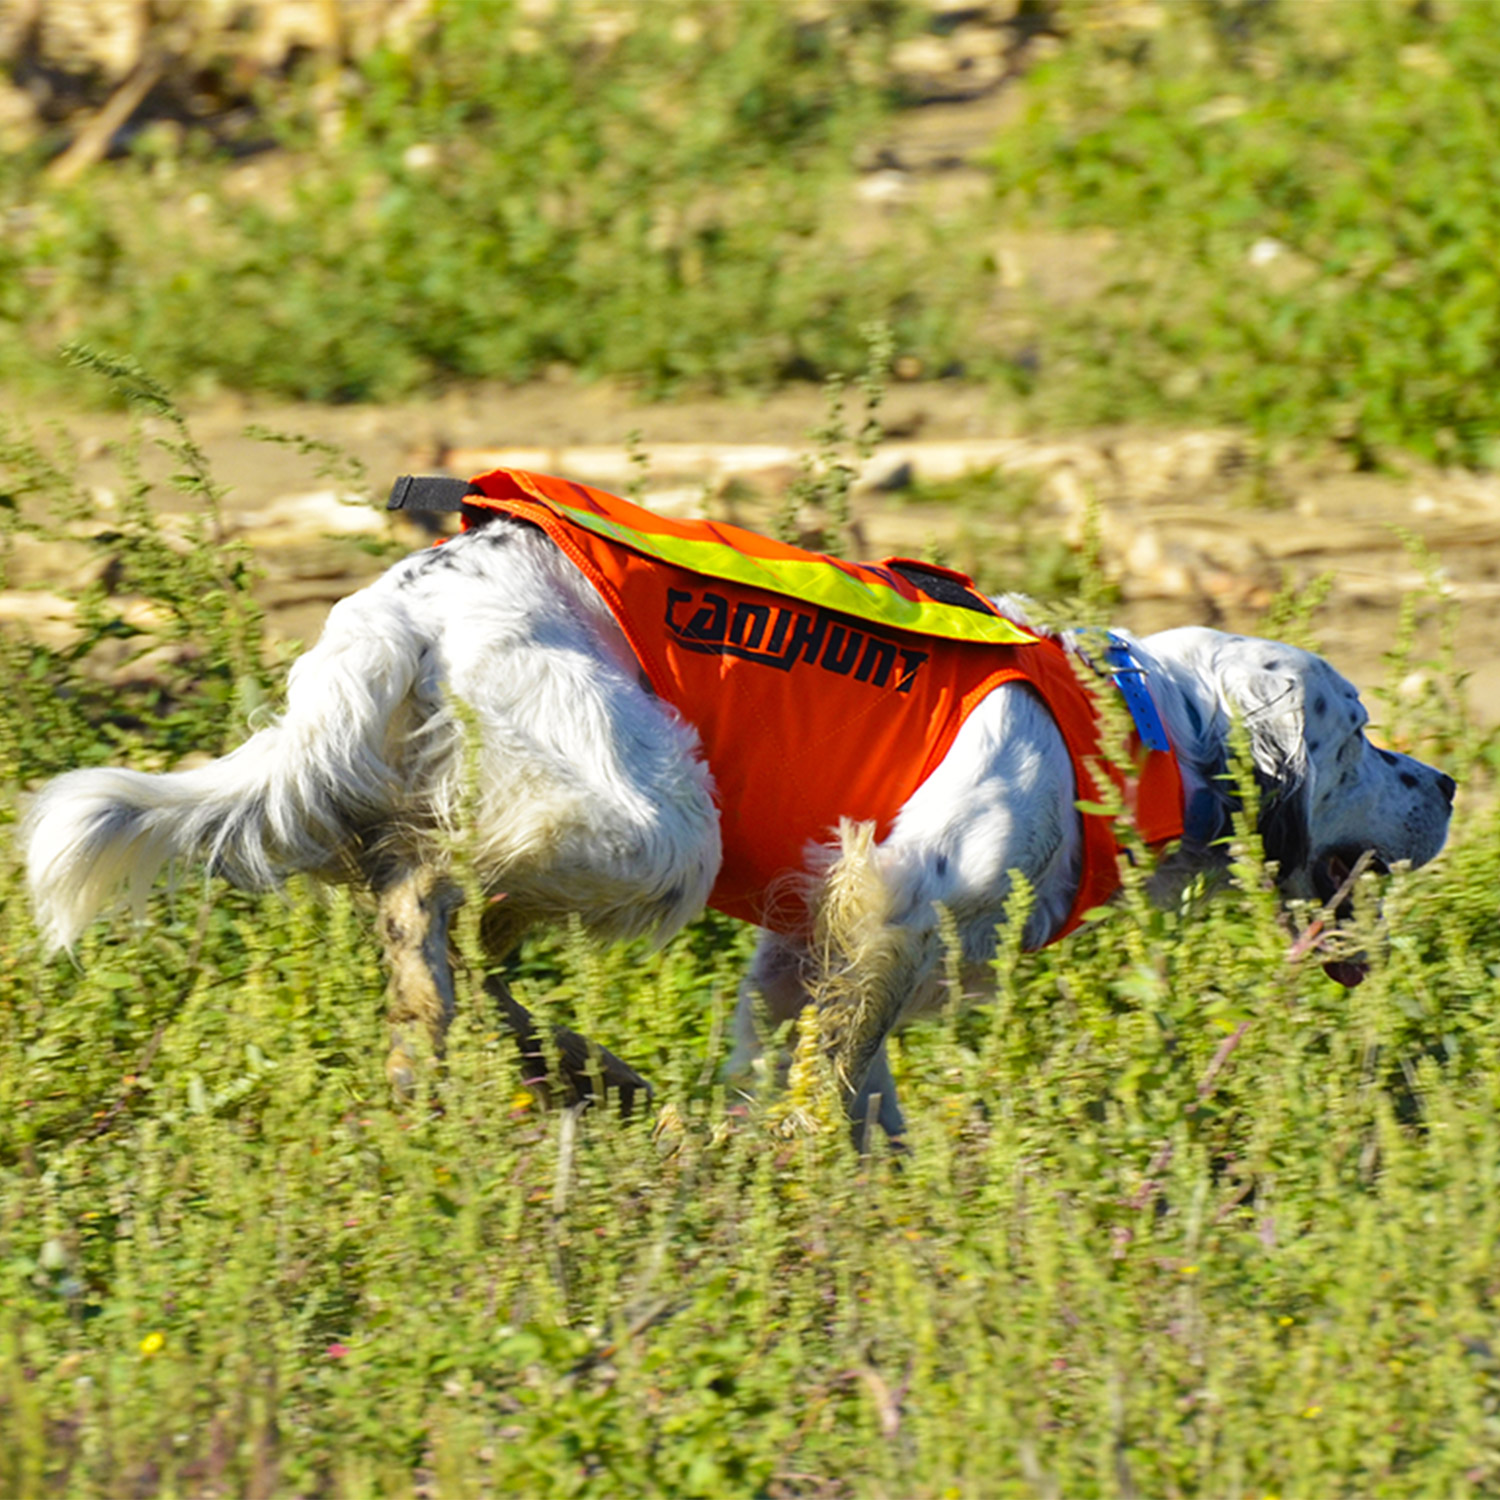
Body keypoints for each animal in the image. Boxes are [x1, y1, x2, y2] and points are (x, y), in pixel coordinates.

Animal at [23, 468, 1452, 1134]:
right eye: (1362, 738)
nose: (1446, 783)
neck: (1127, 726)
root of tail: (408, 598)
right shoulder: (900, 895)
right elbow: (842, 1069)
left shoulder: (805, 933)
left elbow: (811, 1063)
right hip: (657, 817)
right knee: (465, 886)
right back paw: (565, 1051)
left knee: (417, 926)